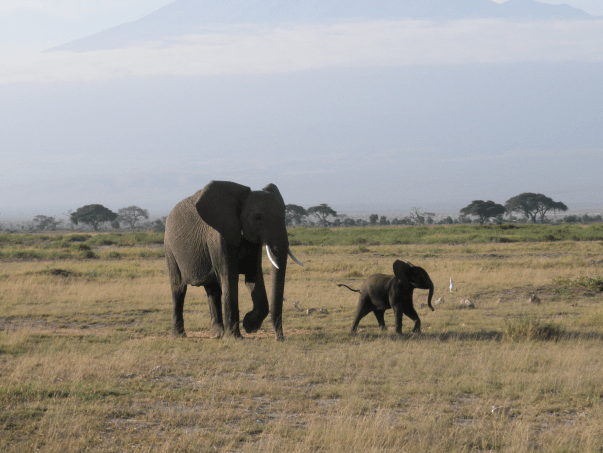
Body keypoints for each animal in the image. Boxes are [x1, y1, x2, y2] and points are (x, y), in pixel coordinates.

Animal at [164, 180, 302, 340]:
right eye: (258, 218)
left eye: (284, 216)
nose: (279, 338)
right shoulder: (218, 238)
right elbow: (229, 277)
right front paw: (235, 338)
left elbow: (253, 276)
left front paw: (249, 326)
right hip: (169, 247)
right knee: (178, 288)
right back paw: (178, 336)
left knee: (213, 290)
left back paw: (217, 334)